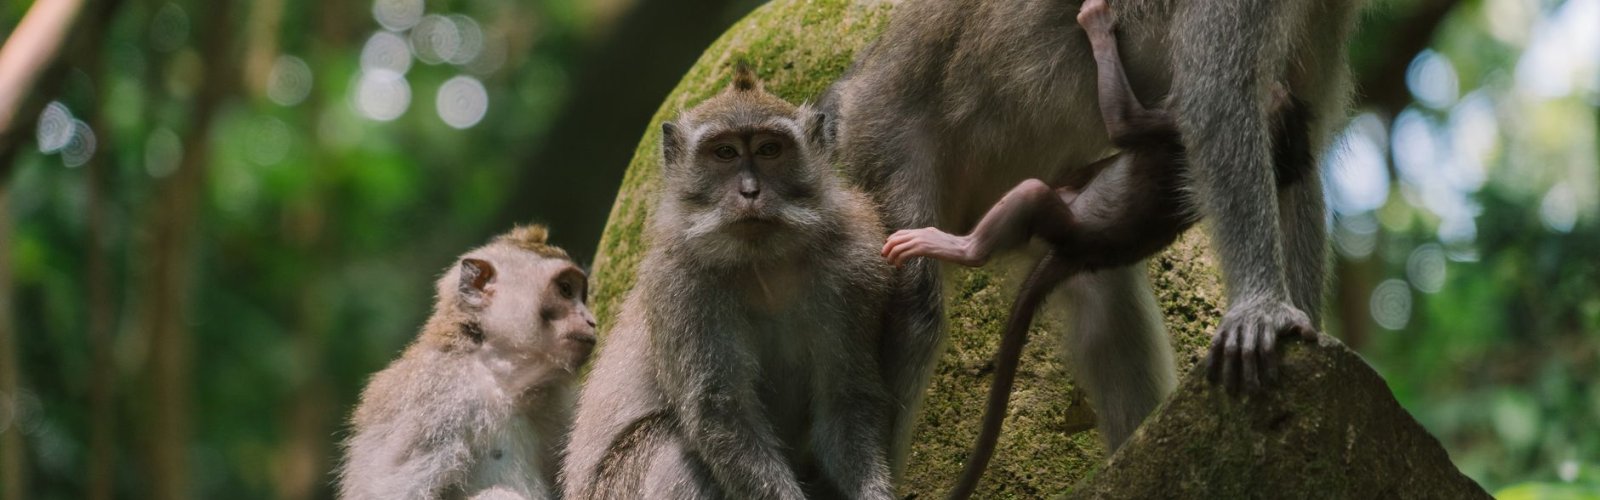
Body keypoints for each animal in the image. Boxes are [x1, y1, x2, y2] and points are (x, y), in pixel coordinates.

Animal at [561, 64, 896, 500]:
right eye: (725, 153)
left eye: (770, 149)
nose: (750, 191)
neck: (761, 261)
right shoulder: (679, 285)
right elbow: (720, 412)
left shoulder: (855, 264)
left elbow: (843, 399)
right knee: (668, 442)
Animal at [820, 0, 1360, 470]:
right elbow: (1217, 102)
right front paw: (1264, 310)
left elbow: (1281, 136)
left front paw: (1284, 323)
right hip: (882, 134)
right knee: (916, 308)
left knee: (1094, 300)